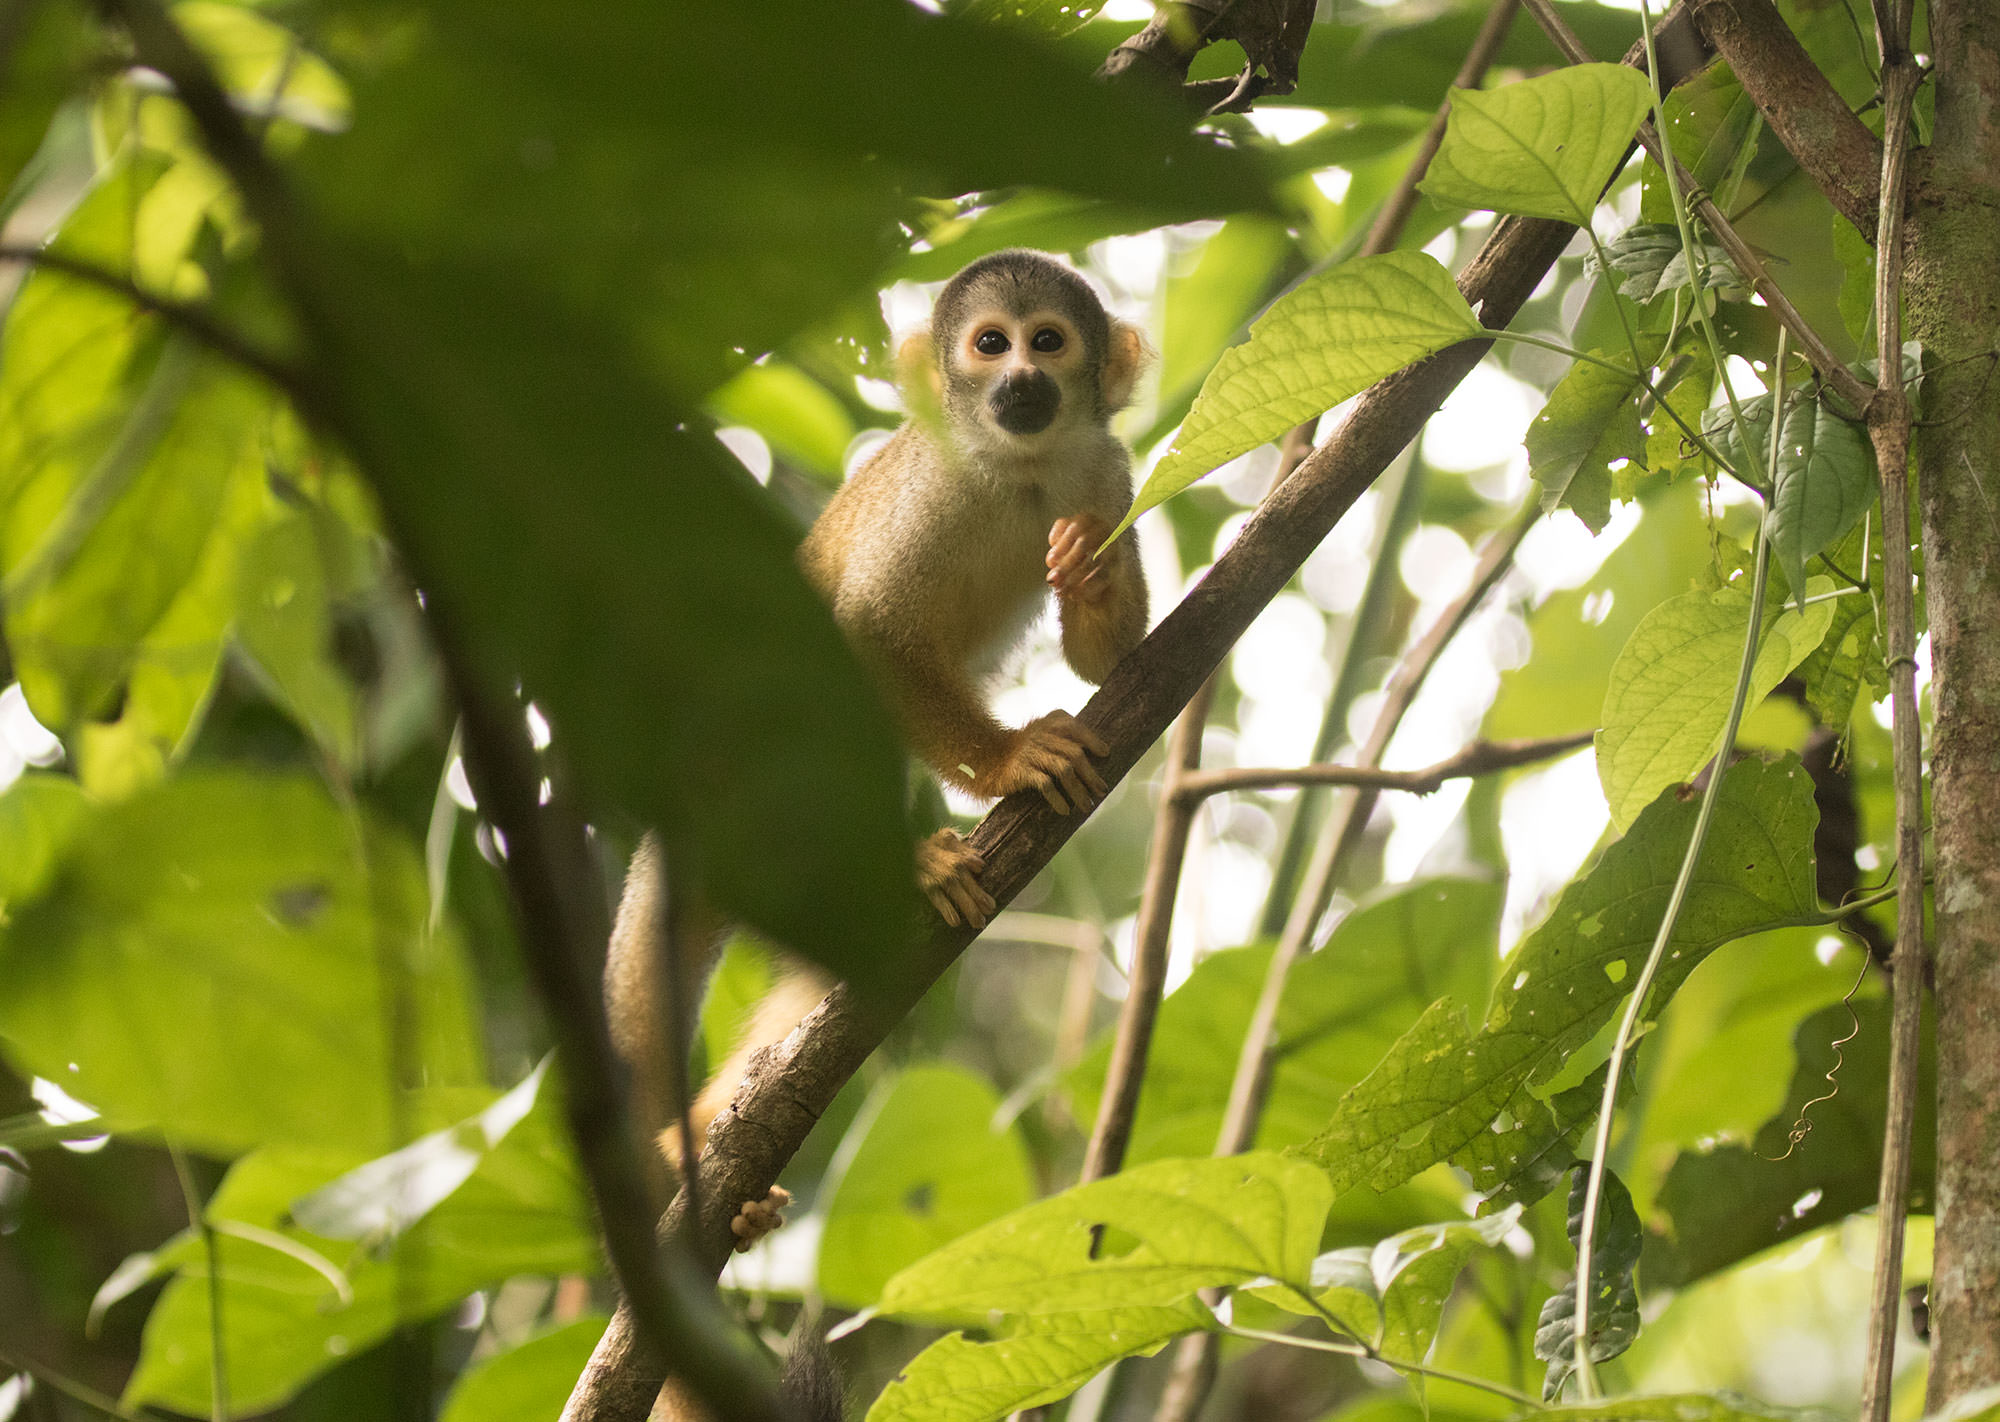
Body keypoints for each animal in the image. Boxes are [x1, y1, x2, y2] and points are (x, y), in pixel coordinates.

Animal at [603, 250, 1151, 1419]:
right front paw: (1009, 761)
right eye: (988, 345)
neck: (1014, 468)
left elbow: (1111, 657)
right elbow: (861, 637)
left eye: (1048, 341)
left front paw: (1087, 580)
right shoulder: (928, 490)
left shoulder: (1107, 472)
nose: (1018, 384)